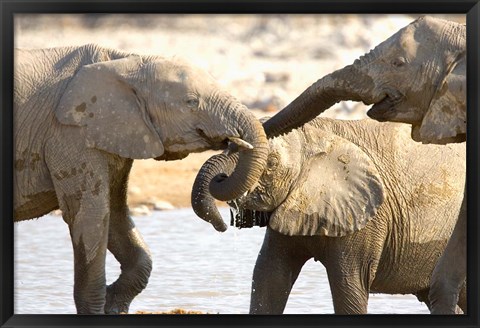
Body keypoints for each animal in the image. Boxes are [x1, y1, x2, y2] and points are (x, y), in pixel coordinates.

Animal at [14, 43, 270, 312]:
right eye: (191, 102)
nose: (224, 225)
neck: (124, 61)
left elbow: (116, 215)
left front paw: (114, 304)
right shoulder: (70, 135)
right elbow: (91, 216)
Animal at [193, 116, 466, 314]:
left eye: (270, 164)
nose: (223, 225)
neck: (317, 134)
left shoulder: (367, 215)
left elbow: (348, 286)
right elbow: (269, 277)